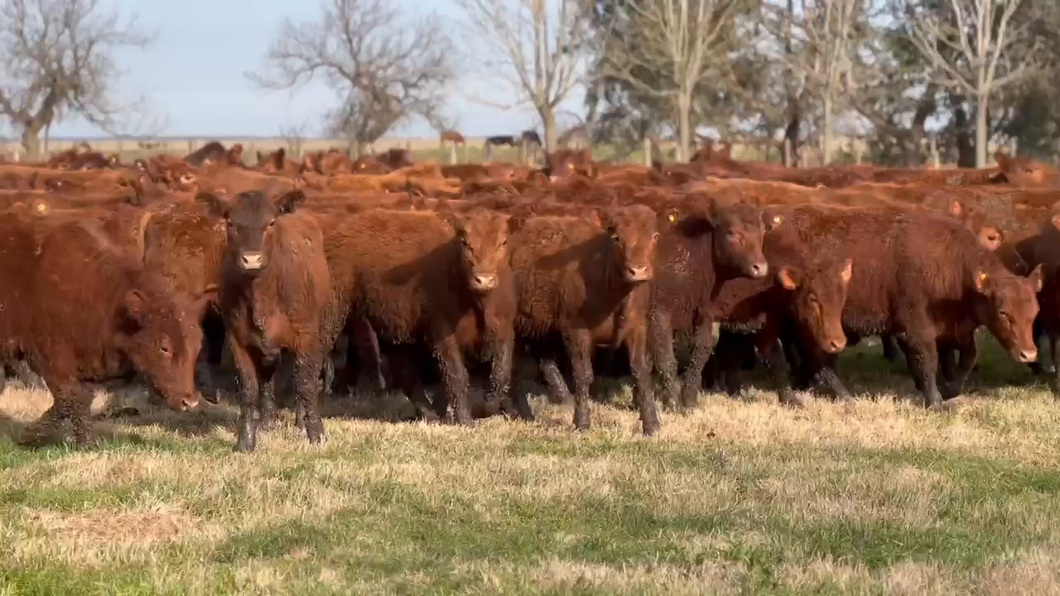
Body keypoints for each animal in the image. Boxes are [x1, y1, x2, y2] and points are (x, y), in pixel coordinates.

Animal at [1, 215, 206, 443]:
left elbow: (82, 400)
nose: (189, 402)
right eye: (164, 347)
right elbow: (70, 398)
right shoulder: (50, 359)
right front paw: (31, 435)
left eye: (197, 346)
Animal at [199, 187, 328, 447]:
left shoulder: (307, 337)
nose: (251, 260)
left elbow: (306, 384)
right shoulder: (237, 339)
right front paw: (245, 440)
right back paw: (266, 420)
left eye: (270, 223)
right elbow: (249, 388)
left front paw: (316, 434)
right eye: (231, 222)